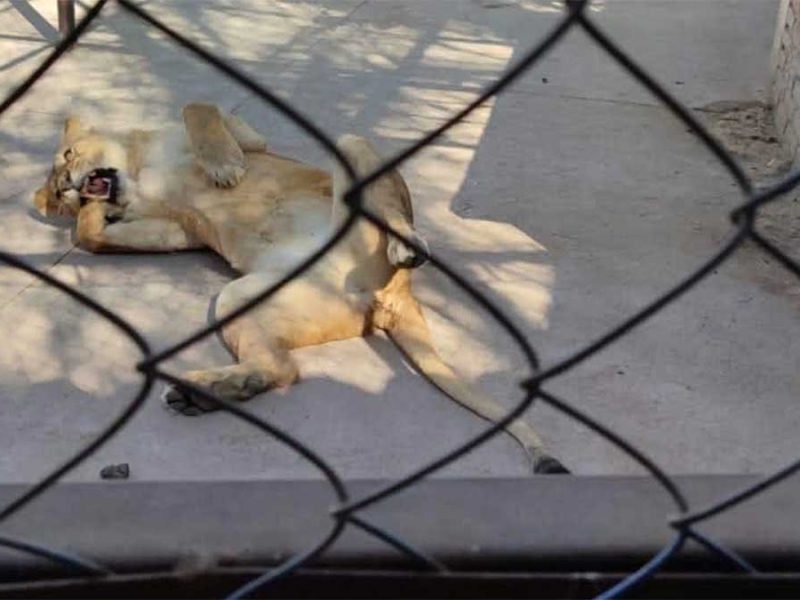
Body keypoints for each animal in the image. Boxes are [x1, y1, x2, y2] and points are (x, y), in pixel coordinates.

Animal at [32, 103, 568, 474]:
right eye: (57, 189)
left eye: (68, 155)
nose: (70, 186)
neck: (137, 170)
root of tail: (393, 296)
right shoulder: (177, 229)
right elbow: (90, 237)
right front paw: (89, 217)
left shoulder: (245, 136)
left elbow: (198, 108)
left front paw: (223, 167)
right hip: (240, 299)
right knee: (283, 369)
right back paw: (208, 392)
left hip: (350, 147)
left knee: (396, 215)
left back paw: (406, 246)